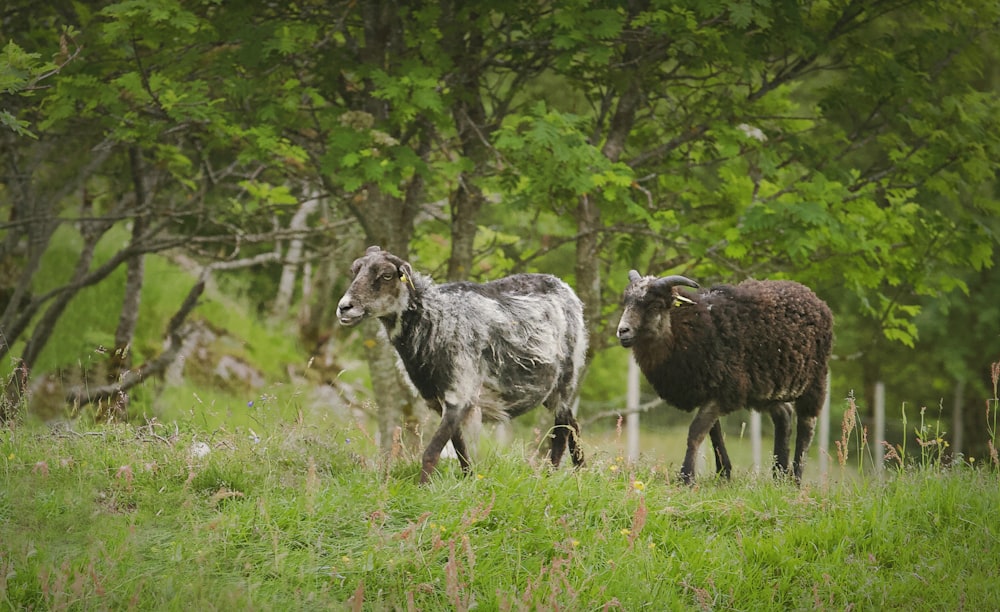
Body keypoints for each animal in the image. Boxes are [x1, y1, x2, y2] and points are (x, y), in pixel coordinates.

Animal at [338, 245, 584, 482]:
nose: (344, 307)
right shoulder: (442, 399)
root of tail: (562, 285)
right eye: (354, 270)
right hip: (550, 390)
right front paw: (469, 481)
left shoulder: (460, 392)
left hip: (565, 379)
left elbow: (432, 452)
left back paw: (550, 477)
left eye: (387, 275)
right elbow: (460, 449)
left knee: (562, 429)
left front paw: (423, 489)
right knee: (573, 424)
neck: (435, 319)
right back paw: (581, 472)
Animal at [612, 270, 832, 486]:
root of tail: (812, 295)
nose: (623, 331)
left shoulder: (724, 391)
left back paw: (796, 479)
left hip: (814, 380)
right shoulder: (708, 389)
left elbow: (696, 432)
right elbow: (714, 433)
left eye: (655, 305)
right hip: (767, 387)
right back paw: (780, 476)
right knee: (784, 415)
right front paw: (723, 473)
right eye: (627, 302)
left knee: (807, 426)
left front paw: (686, 477)